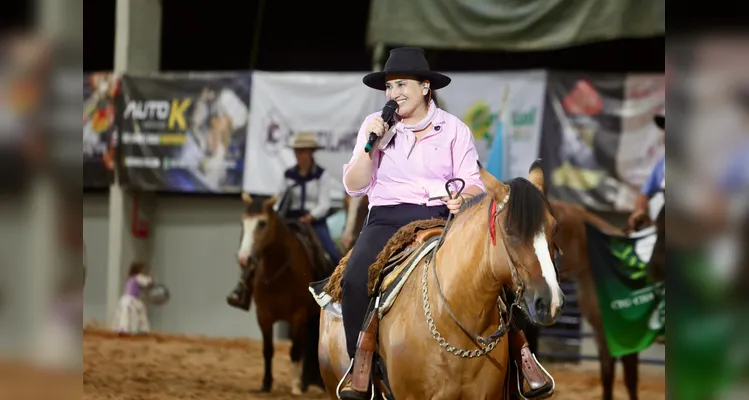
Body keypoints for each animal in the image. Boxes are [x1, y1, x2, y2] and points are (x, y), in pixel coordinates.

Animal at [238, 192, 322, 396]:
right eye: (243, 222)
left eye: (262, 223)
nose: (243, 258)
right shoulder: (263, 316)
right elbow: (268, 350)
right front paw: (266, 384)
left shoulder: (299, 316)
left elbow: (295, 350)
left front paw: (295, 387)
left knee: (307, 345)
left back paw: (303, 383)